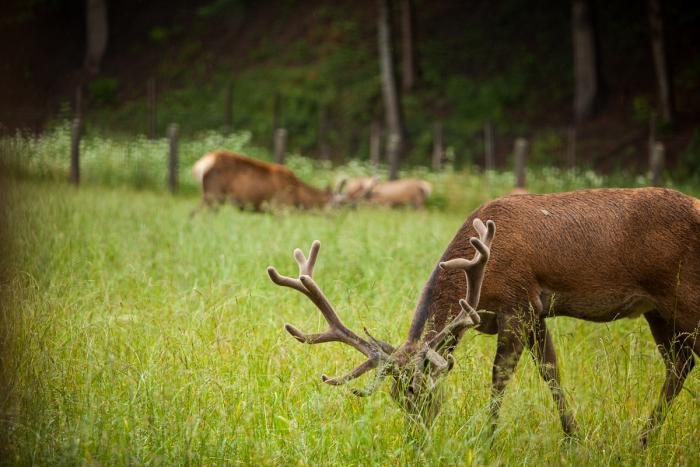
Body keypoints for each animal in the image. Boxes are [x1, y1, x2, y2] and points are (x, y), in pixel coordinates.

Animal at [191, 151, 334, 213]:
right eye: (335, 204)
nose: (337, 222)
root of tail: (200, 165)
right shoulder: (280, 206)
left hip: (209, 195)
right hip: (214, 195)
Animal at [266, 187, 700, 446]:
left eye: (423, 392)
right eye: (395, 395)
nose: (414, 442)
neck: (483, 273)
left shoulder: (517, 304)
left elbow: (501, 375)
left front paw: (487, 439)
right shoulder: (536, 311)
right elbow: (552, 371)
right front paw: (575, 438)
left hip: (685, 297)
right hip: (659, 311)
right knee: (679, 364)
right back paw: (643, 439)